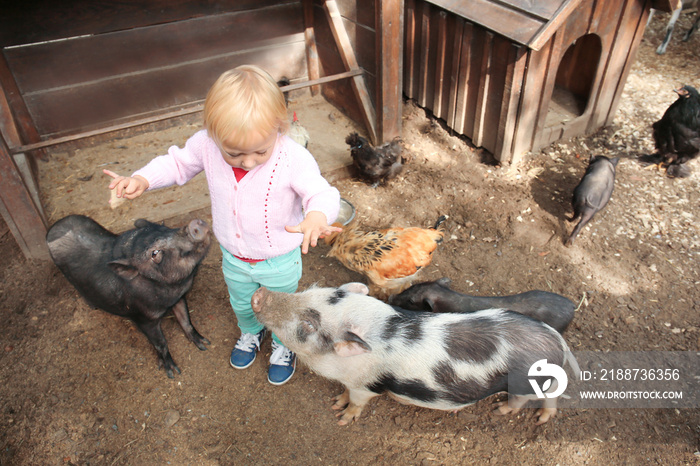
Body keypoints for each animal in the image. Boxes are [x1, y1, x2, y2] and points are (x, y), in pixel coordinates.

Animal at [46, 215, 211, 378]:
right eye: (155, 253)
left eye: (165, 228)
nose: (194, 223)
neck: (172, 291)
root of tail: (53, 227)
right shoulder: (142, 318)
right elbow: (161, 342)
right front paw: (173, 373)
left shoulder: (179, 298)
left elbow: (186, 321)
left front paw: (205, 344)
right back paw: (93, 307)